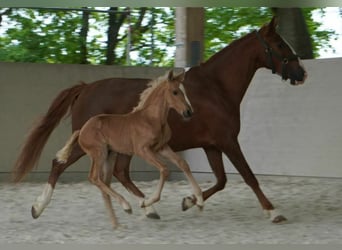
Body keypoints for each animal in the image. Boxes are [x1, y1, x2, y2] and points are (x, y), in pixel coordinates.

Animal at [56, 70, 203, 229]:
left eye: (184, 92)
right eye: (175, 92)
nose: (188, 112)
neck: (151, 119)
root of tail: (81, 130)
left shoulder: (161, 147)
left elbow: (183, 163)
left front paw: (200, 201)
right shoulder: (143, 150)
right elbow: (164, 169)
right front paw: (146, 202)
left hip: (109, 155)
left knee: (104, 183)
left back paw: (117, 224)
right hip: (99, 153)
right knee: (94, 177)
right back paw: (126, 206)